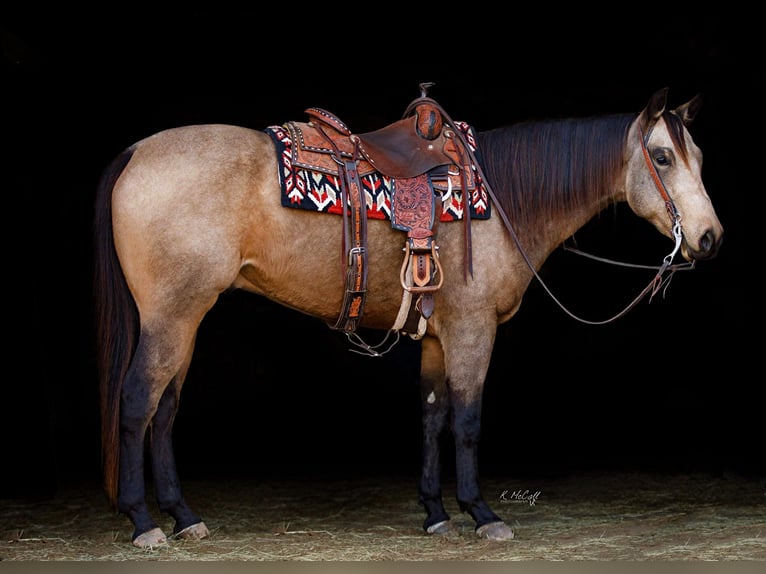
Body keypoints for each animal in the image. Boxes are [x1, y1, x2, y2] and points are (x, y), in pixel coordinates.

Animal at [93, 85, 724, 548]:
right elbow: (466, 421)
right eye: (662, 157)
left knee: (164, 411)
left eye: (697, 157)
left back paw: (183, 516)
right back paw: (144, 523)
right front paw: (482, 513)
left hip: (187, 319)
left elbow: (431, 415)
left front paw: (435, 512)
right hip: (170, 317)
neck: (505, 199)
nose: (709, 237)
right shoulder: (472, 330)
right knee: (138, 402)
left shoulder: (439, 336)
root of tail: (135, 153)